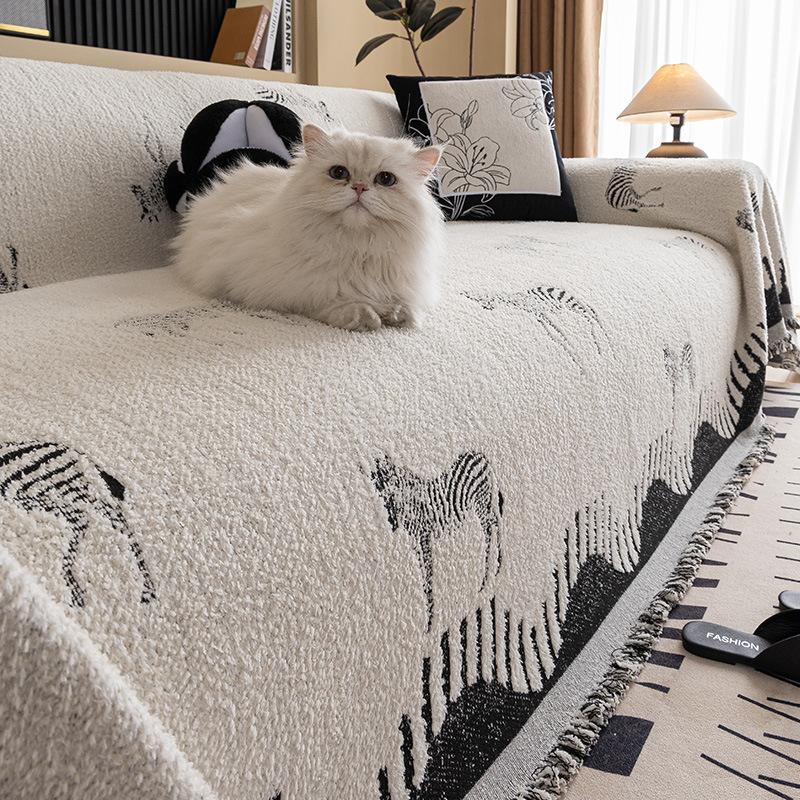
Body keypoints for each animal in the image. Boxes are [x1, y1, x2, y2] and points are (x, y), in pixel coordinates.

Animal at [370, 452, 504, 631]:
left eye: (389, 478)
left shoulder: (424, 536)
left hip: (480, 501)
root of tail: (481, 456)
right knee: (493, 523)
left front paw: (430, 621)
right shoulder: (415, 541)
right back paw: (491, 572)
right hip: (484, 502)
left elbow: (428, 573)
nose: (391, 522)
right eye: (376, 483)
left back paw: (492, 570)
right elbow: (422, 572)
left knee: (493, 524)